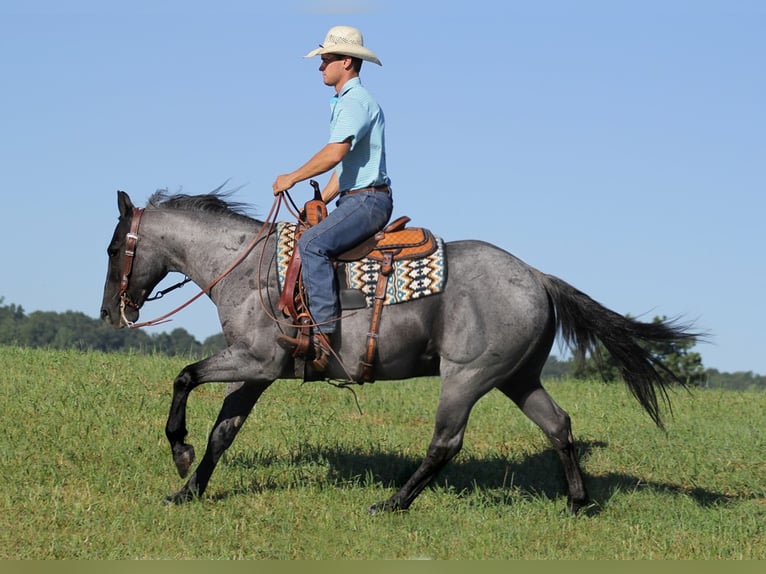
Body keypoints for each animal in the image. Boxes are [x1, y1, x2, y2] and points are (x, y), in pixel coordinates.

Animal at [102, 190, 704, 516]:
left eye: (112, 249)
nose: (110, 313)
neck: (250, 271)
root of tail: (538, 276)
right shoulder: (253, 371)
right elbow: (222, 432)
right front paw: (189, 489)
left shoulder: (257, 361)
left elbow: (184, 378)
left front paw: (179, 454)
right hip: (519, 377)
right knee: (558, 425)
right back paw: (577, 503)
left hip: (466, 377)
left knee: (446, 442)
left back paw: (393, 503)